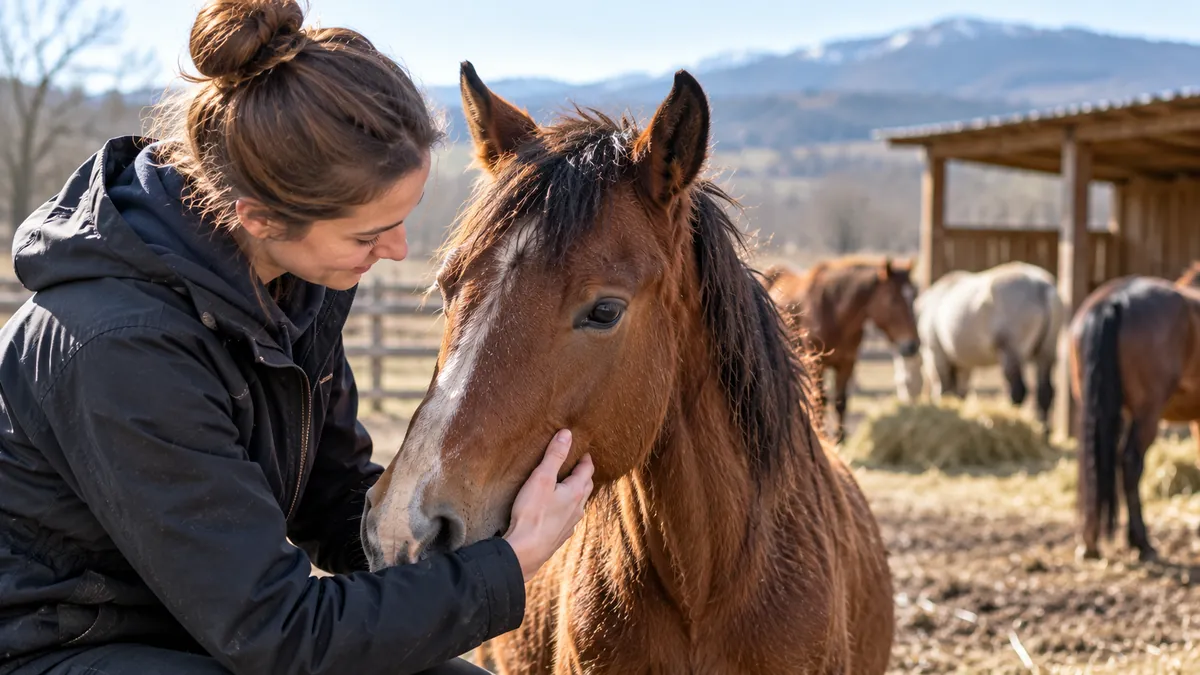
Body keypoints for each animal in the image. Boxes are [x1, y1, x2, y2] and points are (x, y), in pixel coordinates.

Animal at [760, 257, 919, 443]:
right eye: (893, 299)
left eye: (914, 296)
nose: (912, 345)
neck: (834, 312)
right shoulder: (816, 363)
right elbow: (820, 399)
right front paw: (822, 434)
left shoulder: (847, 363)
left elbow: (840, 401)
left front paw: (840, 439)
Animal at [900, 261, 1064, 437]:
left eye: (904, 383)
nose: (907, 402)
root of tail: (1041, 286)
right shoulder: (963, 364)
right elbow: (961, 393)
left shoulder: (935, 355)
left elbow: (943, 389)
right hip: (1046, 352)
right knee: (1045, 392)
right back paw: (1044, 432)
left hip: (1011, 352)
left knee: (1018, 391)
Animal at [1072, 261, 1200, 562]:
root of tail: (1114, 299)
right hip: (1146, 412)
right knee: (1130, 463)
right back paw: (1141, 541)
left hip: (1092, 406)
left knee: (1091, 461)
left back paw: (1089, 542)